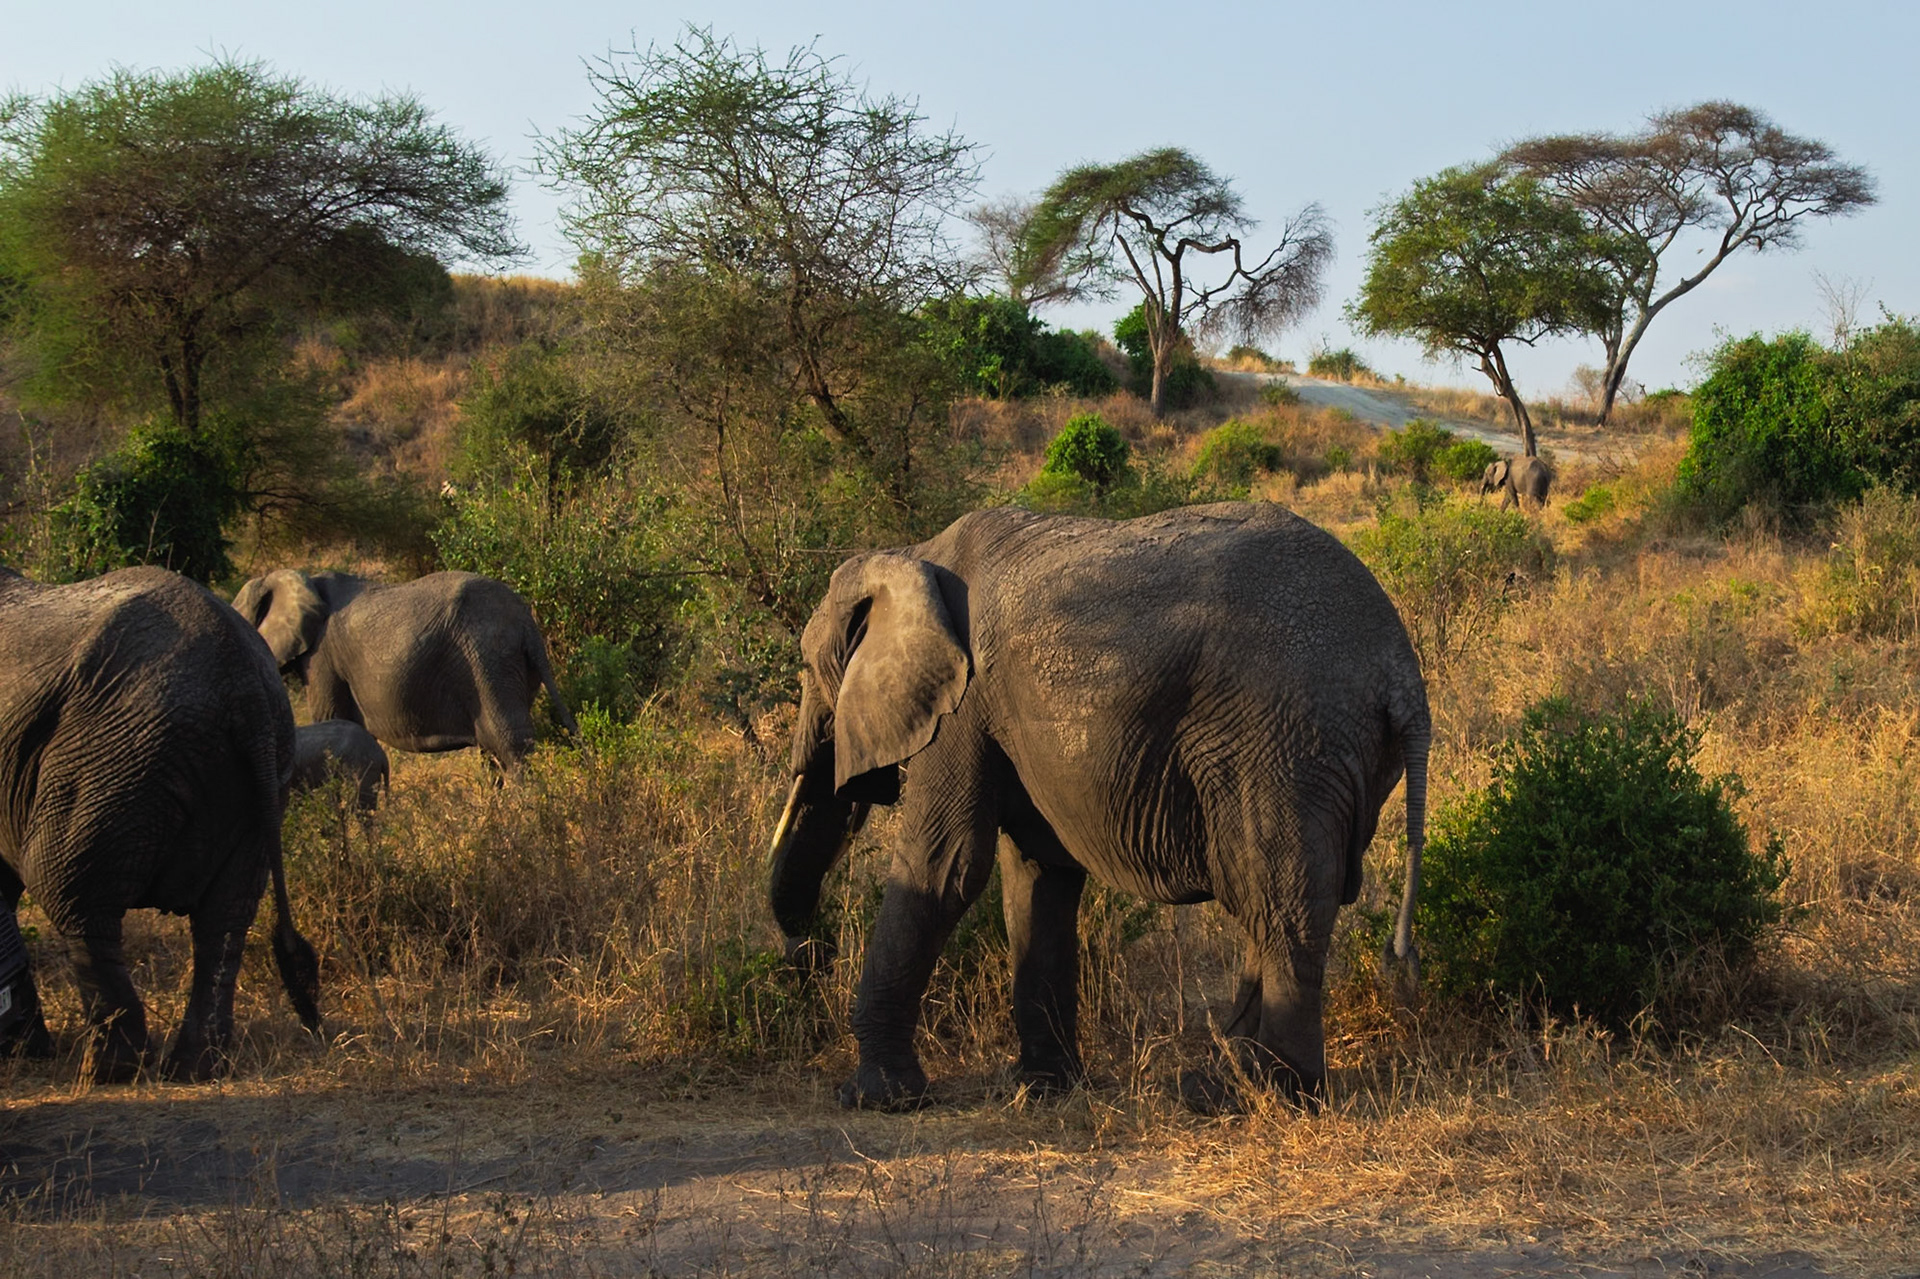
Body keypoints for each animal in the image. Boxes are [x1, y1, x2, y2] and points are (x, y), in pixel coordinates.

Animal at [0, 566, 322, 1082]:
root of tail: (245, 686)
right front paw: (25, 1050)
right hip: (266, 771)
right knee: (224, 919)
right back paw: (197, 1069)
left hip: (112, 752)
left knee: (67, 889)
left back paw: (110, 1072)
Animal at [231, 570, 578, 771]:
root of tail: (525, 620)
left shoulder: (322, 657)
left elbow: (332, 720)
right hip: (507, 665)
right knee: (492, 747)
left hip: (488, 656)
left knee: (508, 742)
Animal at [767, 503, 1429, 1112]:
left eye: (804, 666)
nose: (810, 954)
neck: (912, 555)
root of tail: (1400, 669)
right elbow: (1038, 876)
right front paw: (1044, 1091)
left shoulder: (962, 704)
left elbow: (945, 865)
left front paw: (873, 1097)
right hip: (1334, 751)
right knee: (1271, 899)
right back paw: (1222, 1086)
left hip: (1286, 737)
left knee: (1280, 900)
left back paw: (1266, 1097)